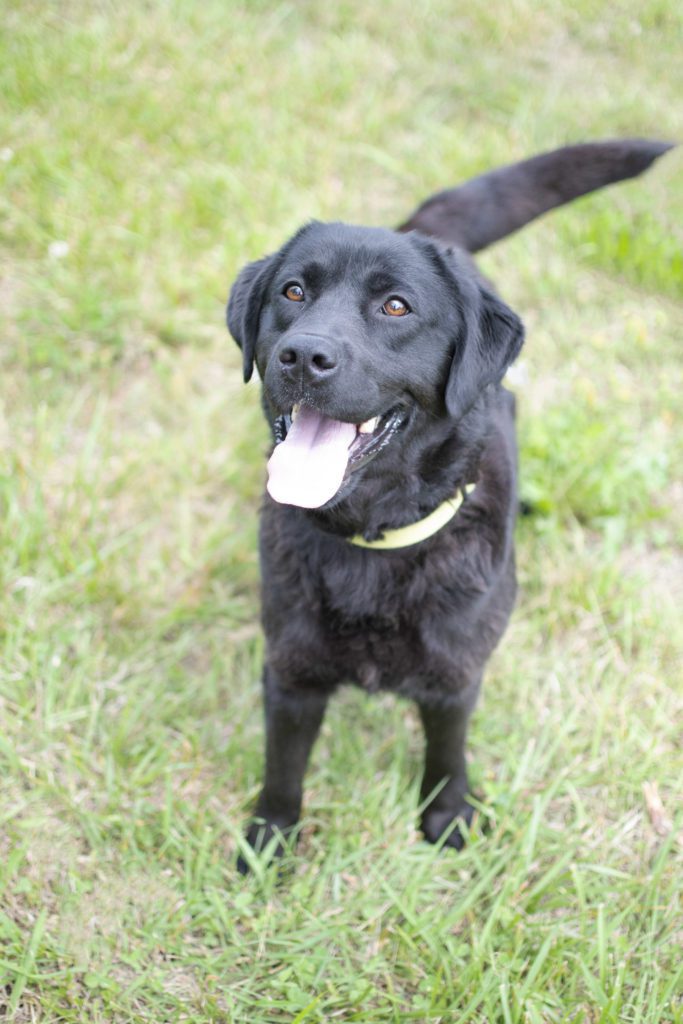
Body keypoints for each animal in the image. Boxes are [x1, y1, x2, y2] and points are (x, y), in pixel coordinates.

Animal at [229, 140, 671, 868]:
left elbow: (446, 751)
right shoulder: (289, 673)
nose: (303, 354)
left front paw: (447, 817)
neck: (373, 539)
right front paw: (270, 839)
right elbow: (282, 765)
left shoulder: (456, 675)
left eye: (396, 307)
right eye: (293, 292)